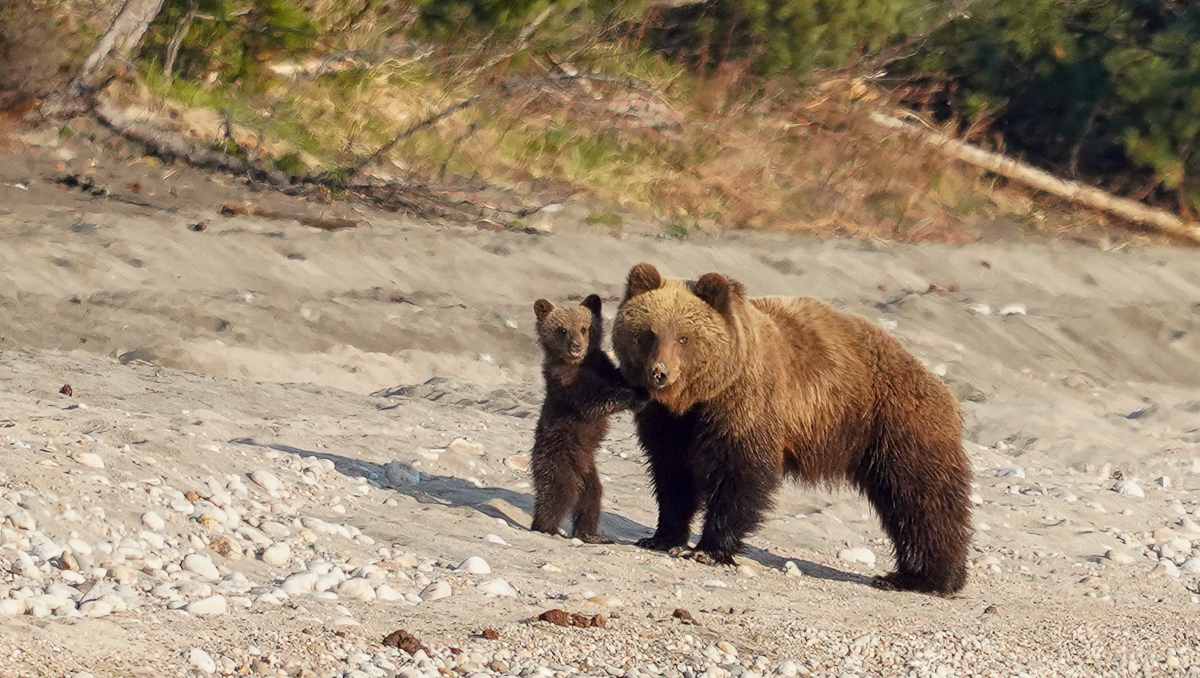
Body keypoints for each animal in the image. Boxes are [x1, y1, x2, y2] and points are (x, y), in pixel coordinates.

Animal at [532, 294, 648, 542]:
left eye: (584, 328)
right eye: (563, 329)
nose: (576, 346)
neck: (580, 364)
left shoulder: (603, 365)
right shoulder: (566, 384)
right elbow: (594, 402)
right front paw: (637, 396)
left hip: (588, 472)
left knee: (591, 498)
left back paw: (591, 534)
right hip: (558, 456)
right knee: (557, 493)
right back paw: (546, 527)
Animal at [614, 261, 969, 595]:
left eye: (684, 337)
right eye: (648, 333)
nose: (660, 373)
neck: (695, 399)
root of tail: (937, 382)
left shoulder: (745, 405)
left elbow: (739, 474)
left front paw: (709, 549)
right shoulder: (668, 423)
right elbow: (673, 475)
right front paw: (661, 536)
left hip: (896, 425)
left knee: (922, 499)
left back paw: (925, 577)